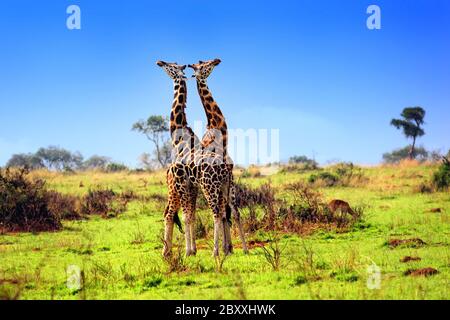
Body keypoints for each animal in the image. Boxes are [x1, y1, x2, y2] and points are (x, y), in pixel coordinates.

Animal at [188, 58, 248, 255]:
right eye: (204, 65)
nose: (216, 60)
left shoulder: (228, 179)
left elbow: (230, 212)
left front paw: (233, 248)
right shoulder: (220, 181)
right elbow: (223, 213)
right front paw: (225, 248)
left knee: (224, 211)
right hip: (207, 187)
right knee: (214, 212)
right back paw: (213, 251)